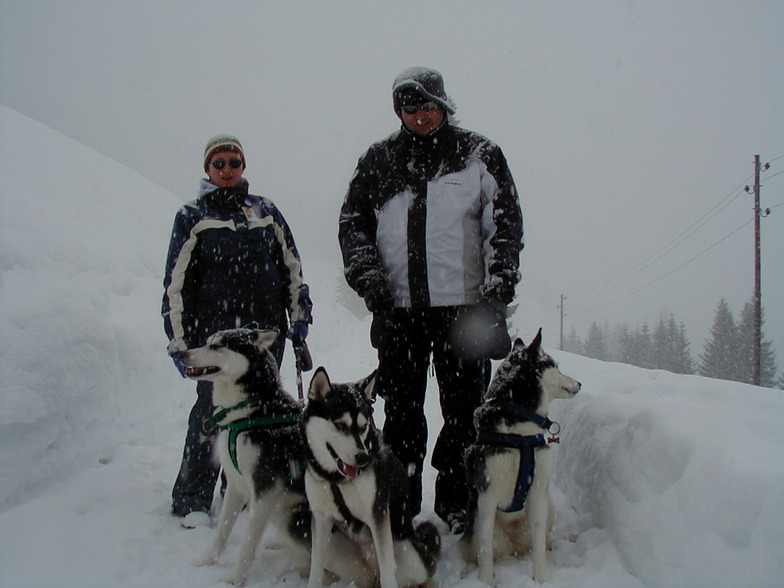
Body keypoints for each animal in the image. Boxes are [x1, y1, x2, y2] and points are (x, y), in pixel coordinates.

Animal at [304, 368, 444, 588]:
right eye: (340, 426)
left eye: (363, 427)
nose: (362, 457)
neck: (338, 479)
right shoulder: (321, 516)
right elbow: (315, 569)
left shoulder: (378, 515)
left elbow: (388, 573)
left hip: (409, 553)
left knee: (424, 571)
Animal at [460, 328, 580, 584]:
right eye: (555, 365)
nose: (579, 383)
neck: (519, 428)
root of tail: (514, 547)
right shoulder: (487, 495)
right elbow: (485, 549)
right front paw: (486, 582)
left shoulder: (538, 491)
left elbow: (538, 545)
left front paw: (541, 579)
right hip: (474, 520)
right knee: (475, 548)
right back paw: (468, 568)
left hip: (549, 504)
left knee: (541, 540)